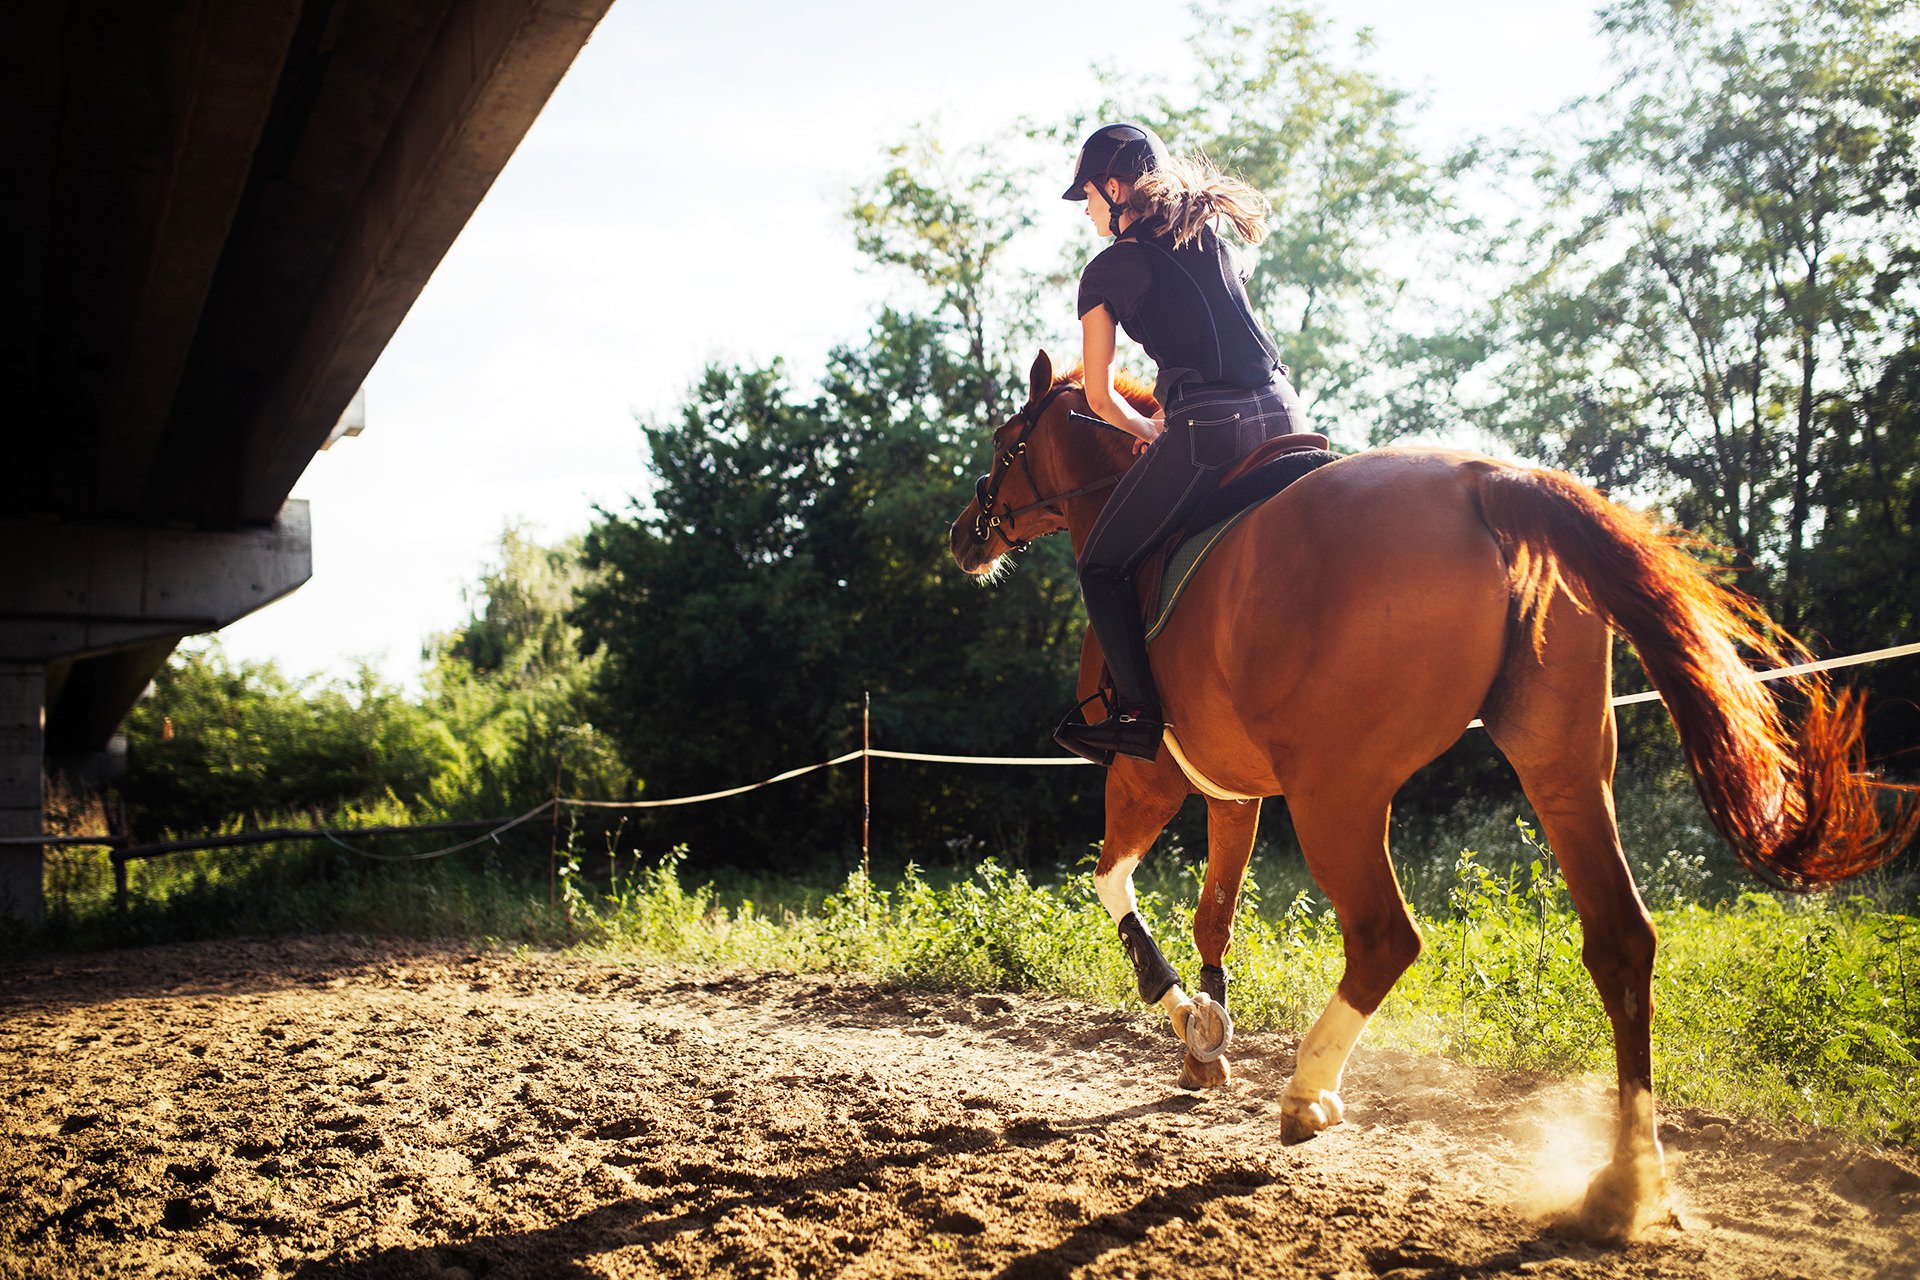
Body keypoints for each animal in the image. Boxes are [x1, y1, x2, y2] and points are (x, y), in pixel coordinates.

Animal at [948, 350, 1916, 1237]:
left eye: (1005, 442)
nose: (965, 534)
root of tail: (1489, 480)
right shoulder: (1232, 792)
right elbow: (1213, 914)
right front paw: (1204, 1046)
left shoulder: (1147, 774)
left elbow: (1115, 884)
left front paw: (1186, 1016)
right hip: (1563, 768)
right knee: (1621, 942)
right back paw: (1627, 1184)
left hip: (1337, 789)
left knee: (1385, 936)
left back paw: (1308, 1096)